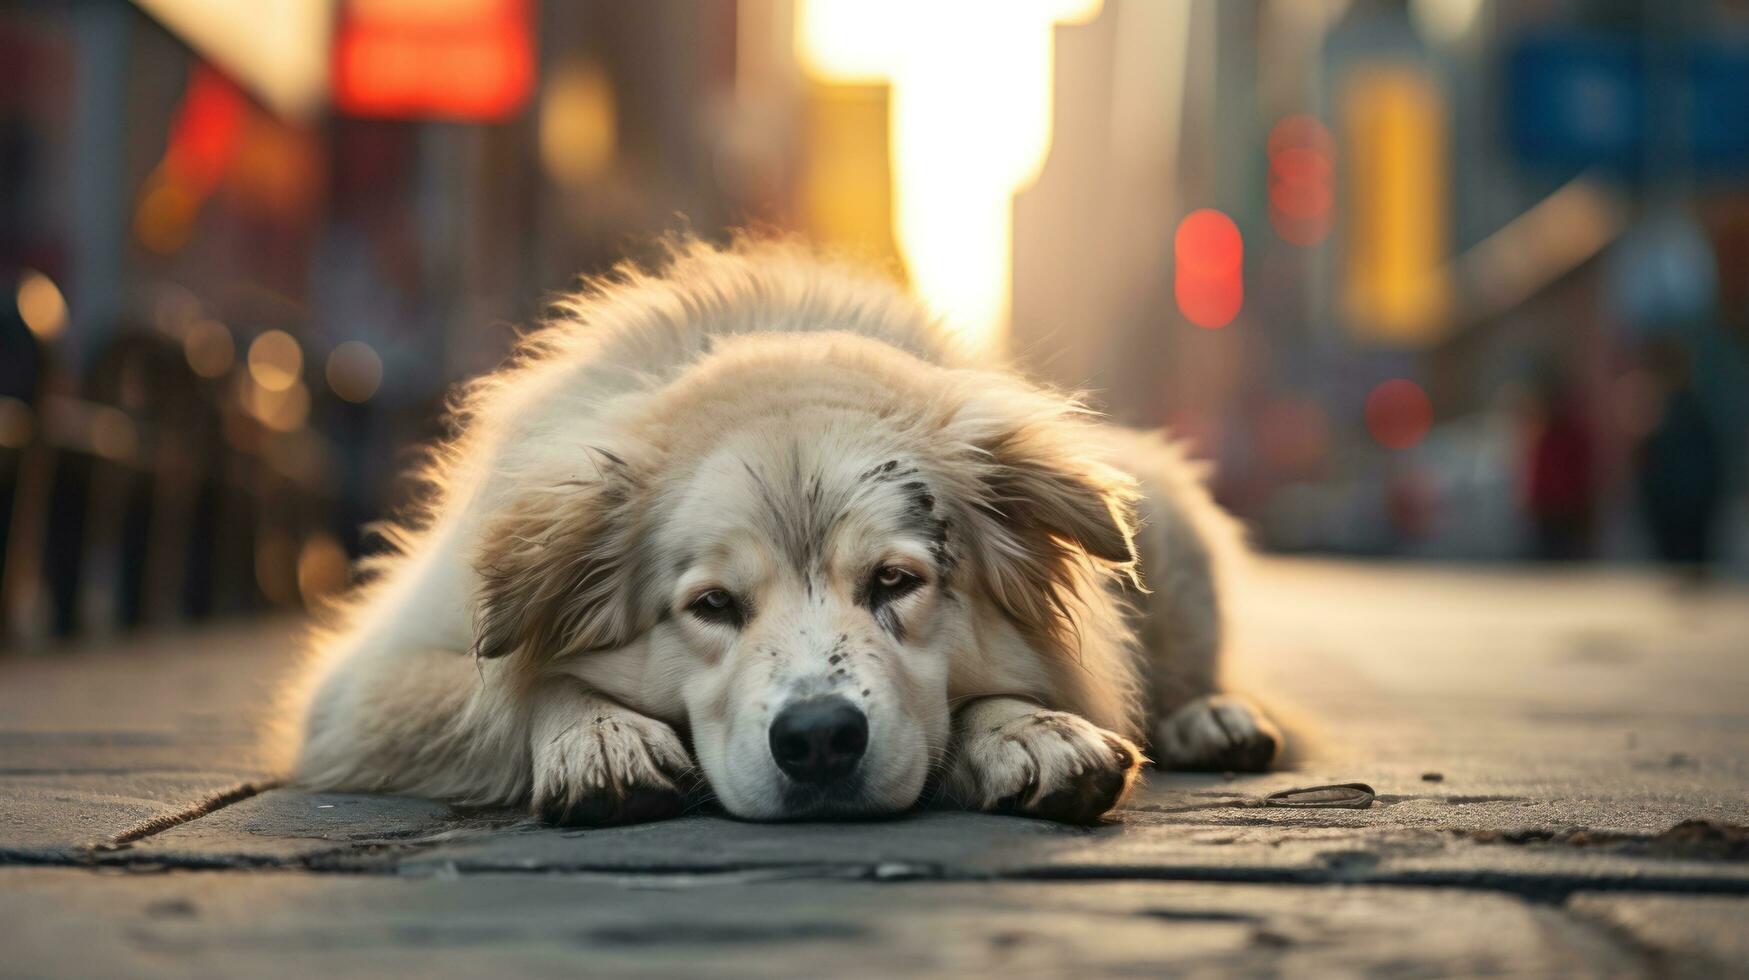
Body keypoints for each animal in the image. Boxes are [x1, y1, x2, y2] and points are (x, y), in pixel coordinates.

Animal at [283, 239, 1273, 826]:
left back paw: (1212, 718)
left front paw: (1027, 730)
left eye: (894, 583)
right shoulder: (365, 685)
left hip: (1160, 502)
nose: (820, 740)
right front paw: (597, 734)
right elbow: (511, 686)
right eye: (713, 605)